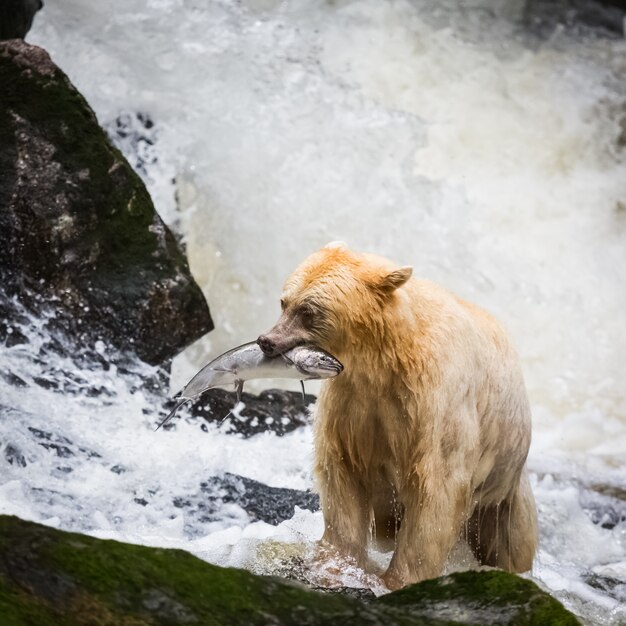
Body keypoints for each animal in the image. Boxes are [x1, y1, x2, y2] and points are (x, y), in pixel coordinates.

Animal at [256, 241, 540, 588]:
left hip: (503, 489)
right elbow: (342, 474)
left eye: (308, 311)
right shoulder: (352, 403)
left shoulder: (432, 400)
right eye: (284, 302)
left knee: (509, 541)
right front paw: (335, 564)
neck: (379, 357)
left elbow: (437, 487)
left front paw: (398, 580)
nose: (266, 341)